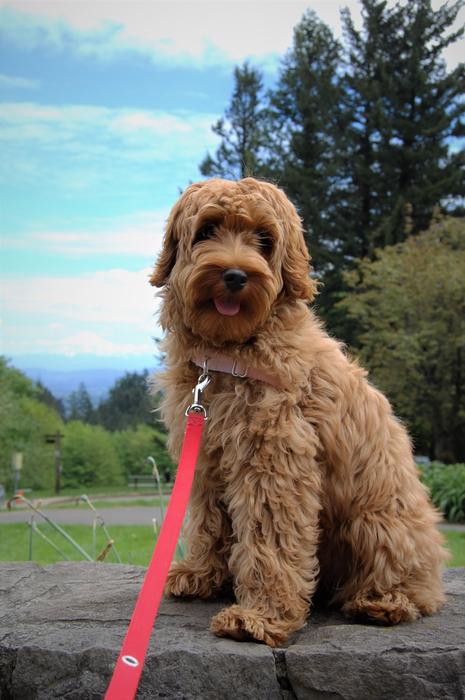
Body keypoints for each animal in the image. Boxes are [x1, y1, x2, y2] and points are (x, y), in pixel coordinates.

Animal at [150, 178, 448, 648]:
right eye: (207, 230)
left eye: (264, 239)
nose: (235, 275)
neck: (229, 354)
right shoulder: (206, 457)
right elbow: (208, 521)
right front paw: (201, 574)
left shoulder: (274, 459)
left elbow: (268, 539)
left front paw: (260, 617)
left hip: (377, 524)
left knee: (413, 585)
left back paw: (382, 602)